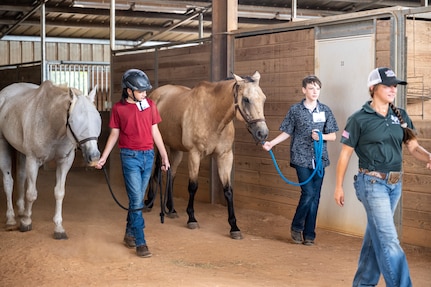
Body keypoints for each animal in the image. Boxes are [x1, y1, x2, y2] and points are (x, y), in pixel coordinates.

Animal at [0, 80, 102, 240]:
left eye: (98, 119)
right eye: (74, 121)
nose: (94, 157)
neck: (51, 123)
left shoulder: (64, 162)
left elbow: (59, 192)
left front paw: (58, 228)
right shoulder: (33, 160)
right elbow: (32, 193)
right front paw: (26, 222)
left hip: (22, 152)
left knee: (21, 177)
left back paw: (21, 211)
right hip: (4, 144)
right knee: (8, 182)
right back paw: (11, 219)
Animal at [150, 71, 268, 240]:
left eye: (263, 99)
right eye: (246, 99)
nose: (262, 133)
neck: (212, 115)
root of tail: (155, 94)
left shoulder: (225, 156)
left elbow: (228, 190)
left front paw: (234, 227)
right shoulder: (194, 154)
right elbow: (193, 186)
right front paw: (192, 219)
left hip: (175, 149)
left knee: (171, 175)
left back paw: (171, 210)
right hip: (155, 145)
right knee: (151, 172)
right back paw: (148, 202)